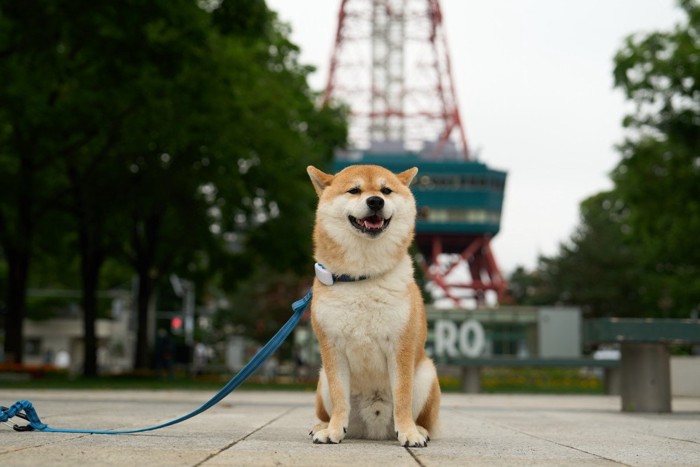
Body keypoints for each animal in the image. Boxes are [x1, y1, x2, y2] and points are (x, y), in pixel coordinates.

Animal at [304, 165, 438, 450]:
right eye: (354, 190)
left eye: (386, 190)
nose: (375, 201)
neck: (362, 277)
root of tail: (373, 429)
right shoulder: (332, 348)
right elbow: (340, 398)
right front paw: (333, 431)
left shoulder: (400, 345)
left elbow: (402, 397)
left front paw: (409, 433)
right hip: (322, 380)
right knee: (328, 410)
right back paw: (322, 426)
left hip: (426, 374)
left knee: (421, 416)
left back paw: (420, 429)